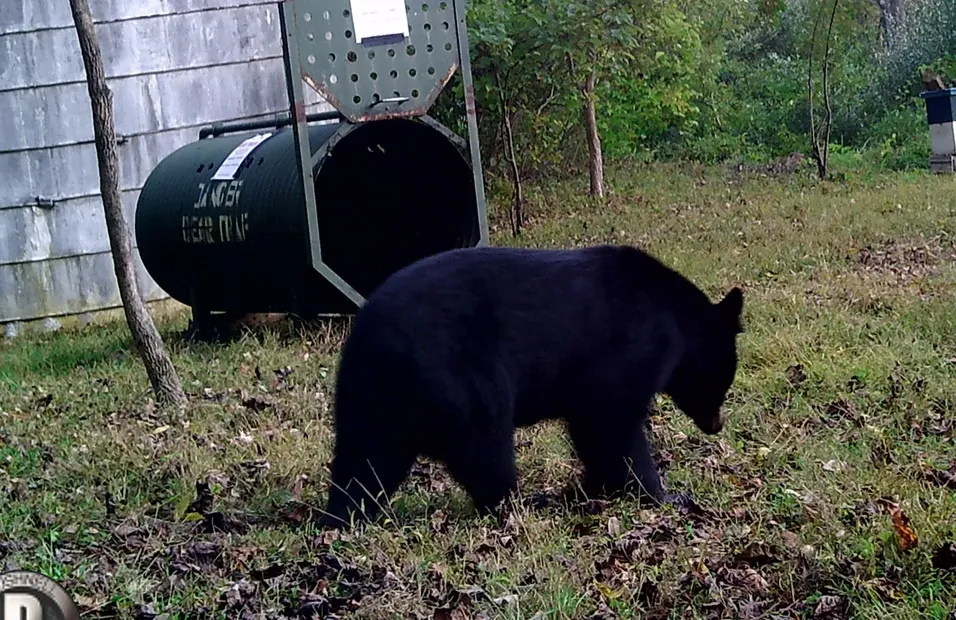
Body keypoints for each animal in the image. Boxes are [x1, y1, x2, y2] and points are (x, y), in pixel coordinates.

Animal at [318, 244, 745, 529]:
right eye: (725, 378)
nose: (717, 425)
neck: (677, 324)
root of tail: (370, 339)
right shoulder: (630, 348)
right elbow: (612, 421)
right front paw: (664, 494)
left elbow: (593, 429)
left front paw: (596, 487)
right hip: (459, 375)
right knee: (485, 446)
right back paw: (526, 503)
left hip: (371, 399)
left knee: (365, 460)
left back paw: (343, 516)